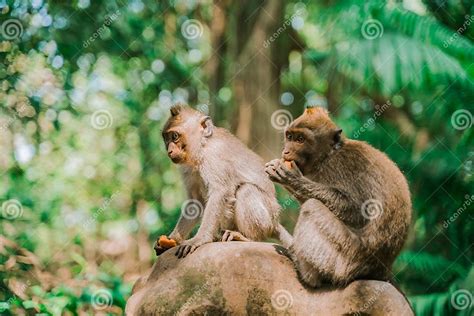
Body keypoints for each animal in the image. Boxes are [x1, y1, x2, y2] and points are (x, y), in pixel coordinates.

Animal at [158, 105, 292, 258]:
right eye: (166, 138)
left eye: (175, 136)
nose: (169, 150)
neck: (203, 148)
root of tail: (275, 222)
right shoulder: (187, 168)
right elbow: (196, 202)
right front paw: (172, 239)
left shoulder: (215, 155)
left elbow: (220, 192)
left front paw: (199, 239)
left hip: (266, 220)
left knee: (246, 190)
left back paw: (246, 237)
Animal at [266, 107, 412, 288]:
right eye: (290, 137)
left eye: (300, 139)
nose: (285, 151)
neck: (328, 155)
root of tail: (380, 271)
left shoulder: (342, 166)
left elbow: (357, 211)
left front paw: (291, 178)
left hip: (345, 258)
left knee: (312, 207)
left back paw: (305, 270)